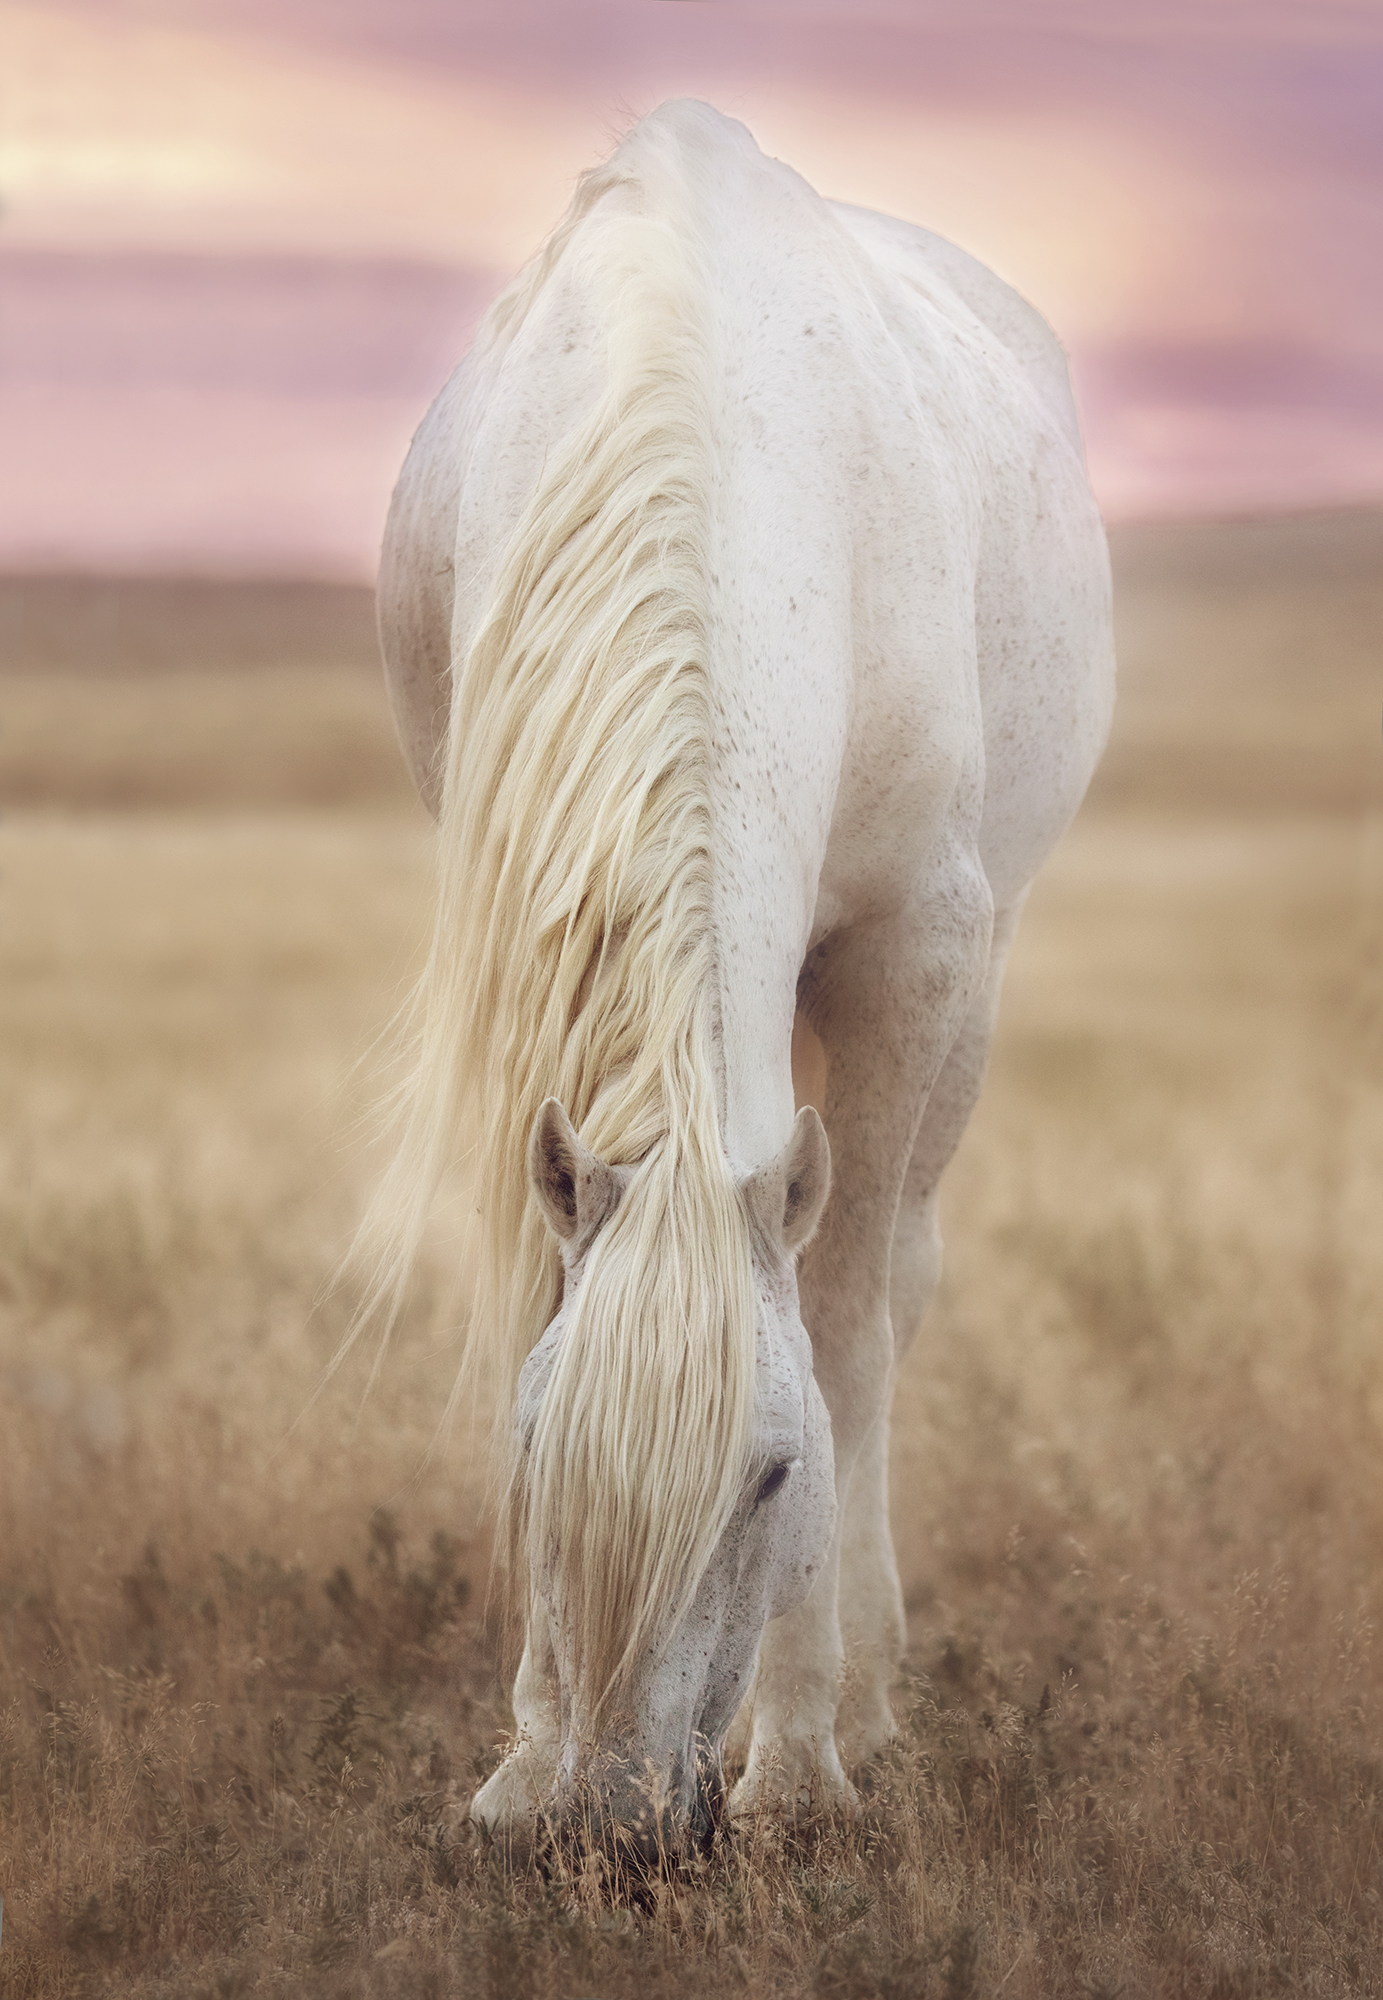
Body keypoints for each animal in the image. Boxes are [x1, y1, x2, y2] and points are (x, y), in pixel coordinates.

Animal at [366, 99, 1114, 1860]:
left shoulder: (913, 949)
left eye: (772, 1476)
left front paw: (798, 1767)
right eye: (534, 1458)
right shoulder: (521, 936)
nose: (620, 1830)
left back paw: (867, 1699)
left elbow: (838, 1328)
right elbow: (536, 1286)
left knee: (892, 1279)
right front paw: (519, 1760)